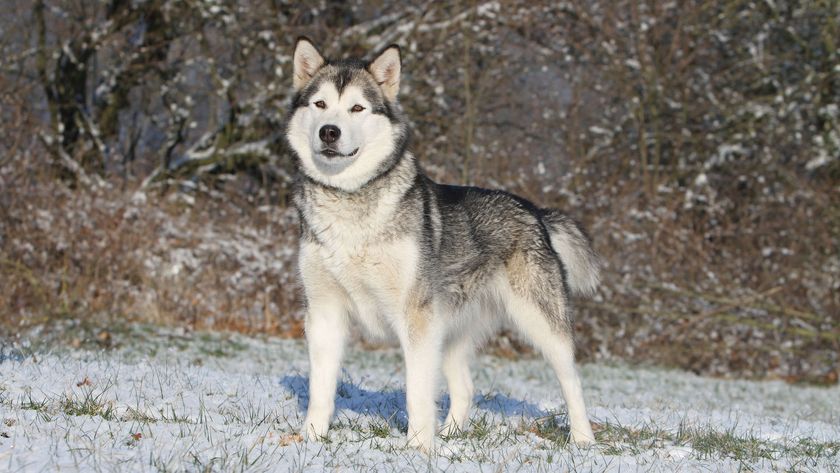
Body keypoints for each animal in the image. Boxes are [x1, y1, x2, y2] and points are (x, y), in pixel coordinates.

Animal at [286, 37, 600, 450]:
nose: (329, 132)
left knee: (573, 381)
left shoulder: (416, 319)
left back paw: (583, 439)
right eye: (320, 104)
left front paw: (418, 447)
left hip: (541, 323)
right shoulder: (324, 313)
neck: (350, 200)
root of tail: (533, 209)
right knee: (465, 388)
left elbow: (417, 393)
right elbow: (320, 390)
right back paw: (450, 437)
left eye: (357, 108)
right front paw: (310, 439)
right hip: (450, 332)